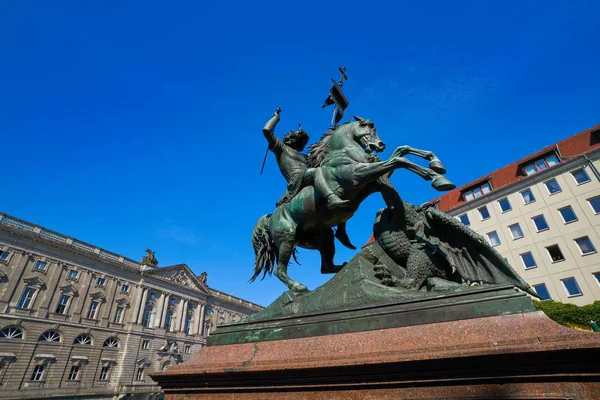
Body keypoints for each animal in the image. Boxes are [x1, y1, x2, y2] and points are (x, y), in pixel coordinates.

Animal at [250, 117, 454, 292]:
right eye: (370, 127)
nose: (380, 145)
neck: (344, 152)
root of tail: (269, 219)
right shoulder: (358, 174)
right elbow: (398, 160)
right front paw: (436, 178)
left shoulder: (372, 180)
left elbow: (400, 152)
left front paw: (436, 165)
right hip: (287, 238)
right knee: (280, 270)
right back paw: (298, 287)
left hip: (321, 238)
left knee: (326, 267)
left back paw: (346, 264)